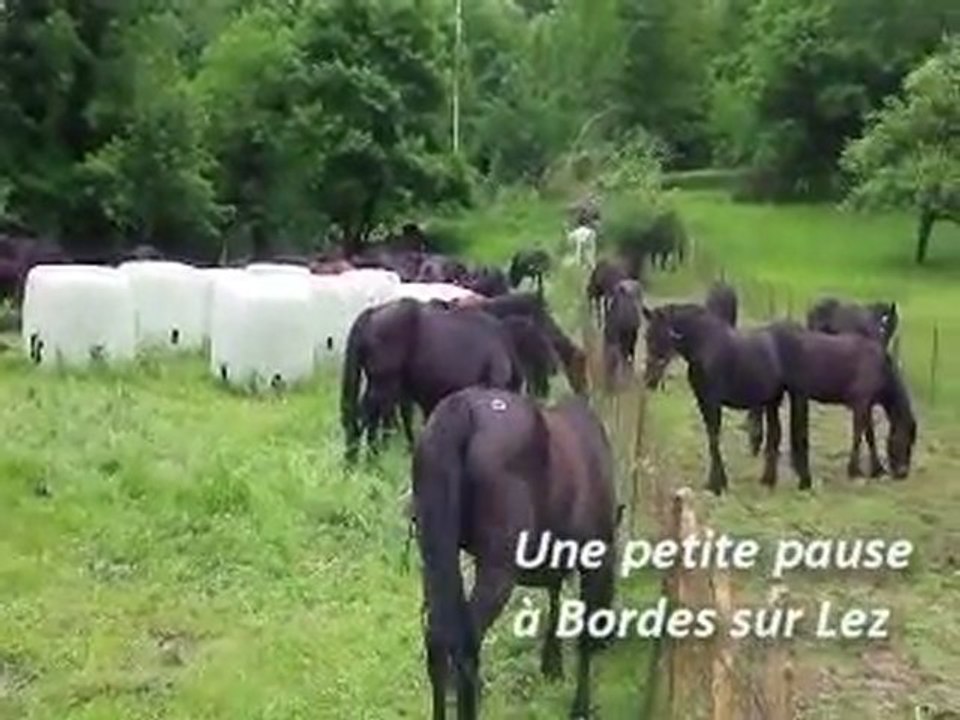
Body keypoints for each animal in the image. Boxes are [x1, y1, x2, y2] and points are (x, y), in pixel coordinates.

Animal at [413, 387, 617, 720]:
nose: (609, 641)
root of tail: (461, 412)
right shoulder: (592, 559)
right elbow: (583, 634)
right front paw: (580, 705)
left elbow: (554, 594)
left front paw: (552, 663)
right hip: (498, 568)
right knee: (466, 642)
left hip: (434, 556)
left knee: (438, 640)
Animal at [643, 303, 811, 494]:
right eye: (646, 336)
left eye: (663, 336)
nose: (649, 380)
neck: (706, 345)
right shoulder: (702, 401)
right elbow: (711, 437)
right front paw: (716, 482)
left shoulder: (712, 401)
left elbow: (714, 437)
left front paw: (717, 484)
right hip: (772, 400)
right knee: (775, 434)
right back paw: (768, 480)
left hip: (796, 397)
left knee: (799, 433)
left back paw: (803, 482)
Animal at [768, 322, 917, 479]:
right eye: (904, 440)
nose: (903, 472)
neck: (880, 368)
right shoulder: (861, 404)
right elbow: (859, 435)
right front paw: (854, 470)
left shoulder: (867, 406)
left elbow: (870, 436)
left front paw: (877, 469)